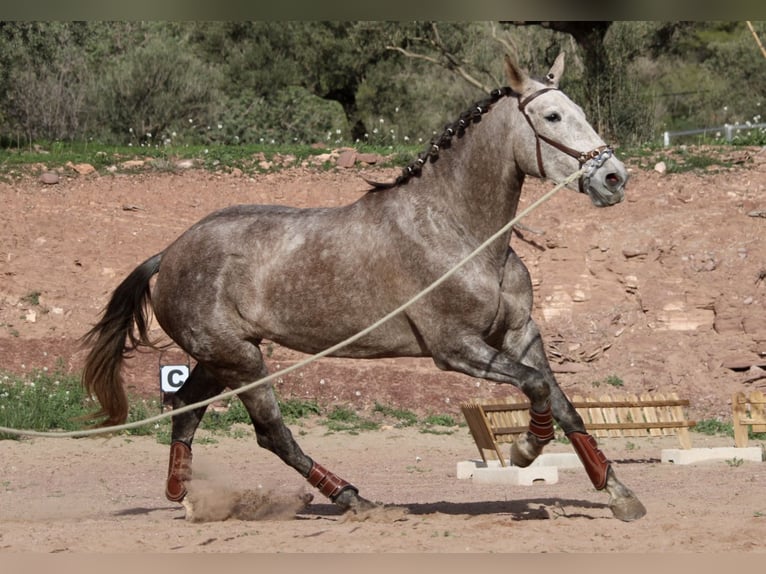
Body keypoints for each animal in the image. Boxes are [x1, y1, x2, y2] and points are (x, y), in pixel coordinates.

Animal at [82, 53, 648, 520]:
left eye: (578, 109)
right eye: (552, 117)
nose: (614, 179)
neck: (459, 230)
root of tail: (169, 253)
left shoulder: (520, 334)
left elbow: (562, 402)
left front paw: (619, 493)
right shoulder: (456, 348)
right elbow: (534, 389)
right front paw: (524, 451)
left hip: (223, 356)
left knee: (186, 411)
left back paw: (183, 494)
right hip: (240, 360)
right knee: (270, 433)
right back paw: (352, 497)